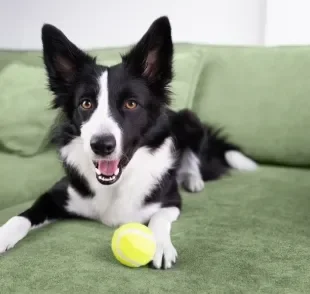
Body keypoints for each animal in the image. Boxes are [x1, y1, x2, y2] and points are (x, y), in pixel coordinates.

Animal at [0, 16, 256, 268]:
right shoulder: (56, 195)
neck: (114, 185)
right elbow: (20, 216)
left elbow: (158, 219)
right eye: (86, 103)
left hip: (189, 119)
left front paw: (161, 245)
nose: (101, 145)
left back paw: (193, 179)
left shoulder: (171, 201)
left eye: (131, 104)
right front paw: (3, 236)